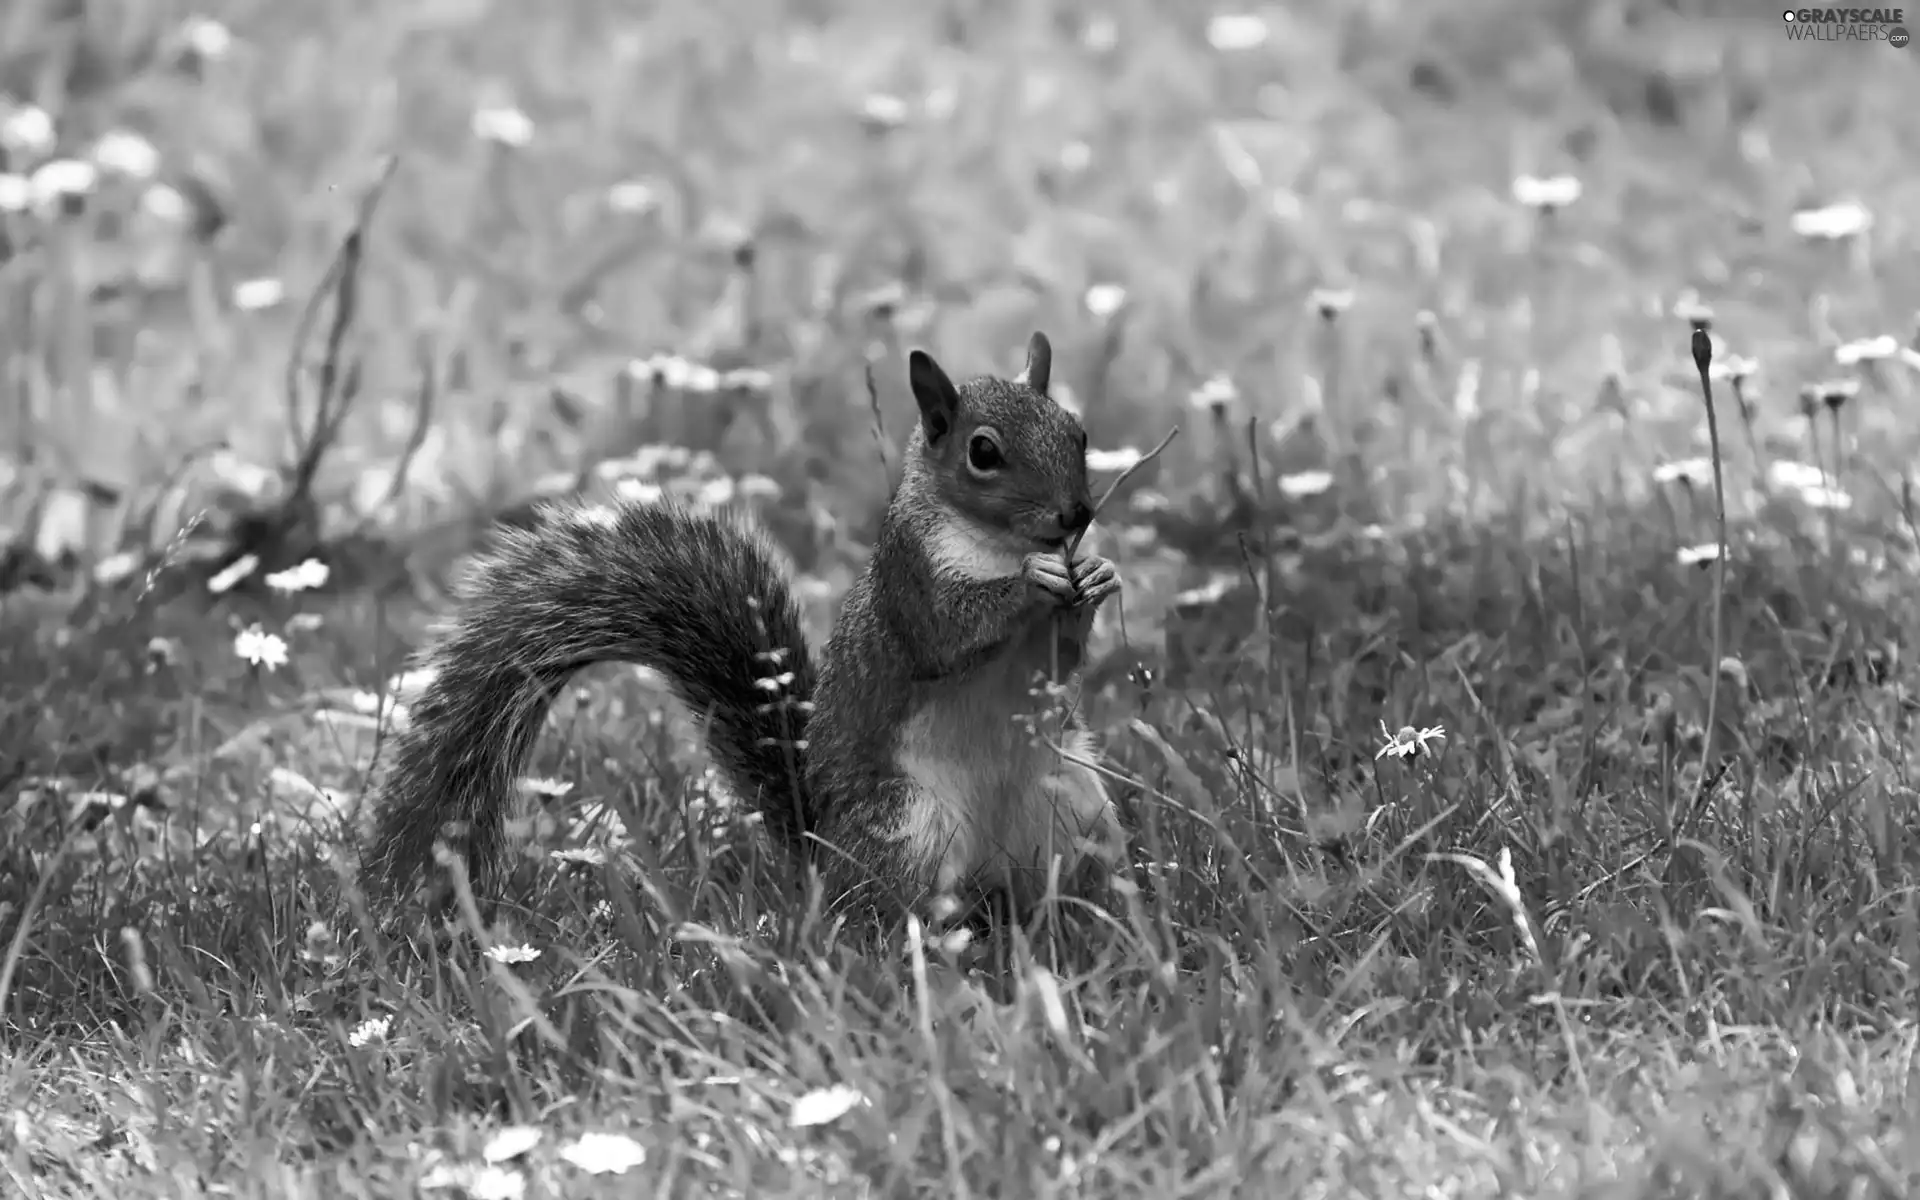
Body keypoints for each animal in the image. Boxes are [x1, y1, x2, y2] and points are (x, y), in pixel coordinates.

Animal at [360, 332, 1121, 921]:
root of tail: (823, 852)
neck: (998, 543)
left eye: (1080, 432)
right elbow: (946, 634)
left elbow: (1058, 661)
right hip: (909, 828)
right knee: (880, 919)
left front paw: (1095, 577)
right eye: (982, 453)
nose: (1077, 514)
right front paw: (1035, 582)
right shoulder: (911, 580)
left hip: (1075, 809)